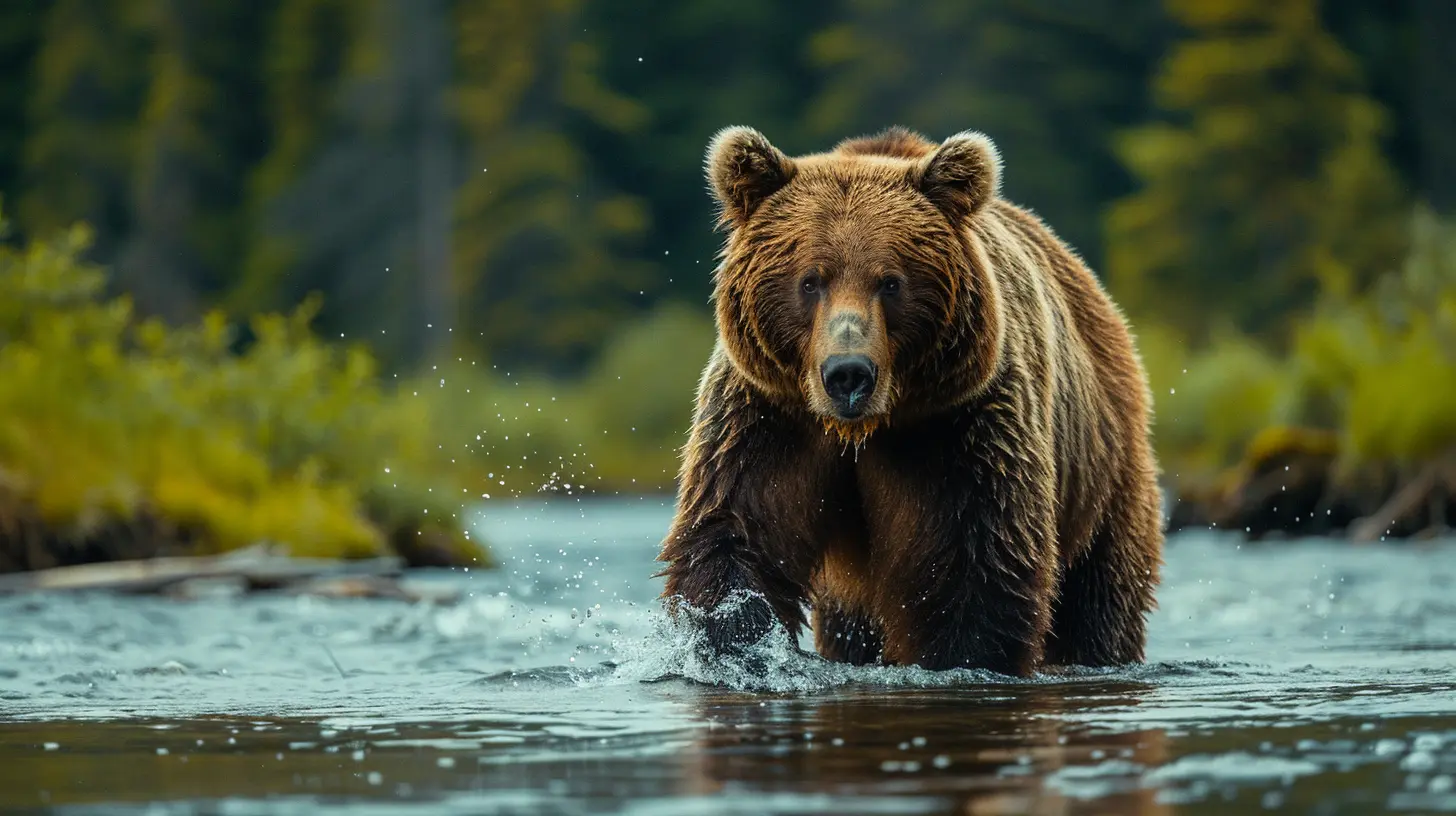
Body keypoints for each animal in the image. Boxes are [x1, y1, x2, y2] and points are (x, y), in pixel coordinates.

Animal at [656, 125, 1165, 678]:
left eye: (891, 281)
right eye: (810, 280)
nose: (848, 374)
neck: (862, 430)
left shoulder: (959, 428)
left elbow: (975, 569)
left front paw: (960, 654)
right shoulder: (767, 417)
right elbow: (734, 535)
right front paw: (735, 646)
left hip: (1104, 471)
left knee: (1100, 597)